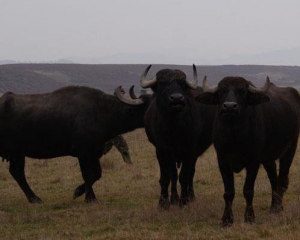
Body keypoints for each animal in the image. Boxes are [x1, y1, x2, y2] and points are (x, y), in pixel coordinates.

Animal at [0, 85, 150, 203]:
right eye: (149, 105)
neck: (101, 111)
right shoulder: (83, 154)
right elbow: (88, 175)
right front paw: (90, 198)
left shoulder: (94, 153)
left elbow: (97, 174)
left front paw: (78, 191)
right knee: (18, 173)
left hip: (17, 154)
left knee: (17, 172)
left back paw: (33, 198)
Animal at [196, 76, 300, 225]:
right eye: (221, 91)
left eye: (243, 91)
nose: (230, 106)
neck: (234, 135)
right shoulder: (222, 161)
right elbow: (228, 192)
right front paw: (226, 219)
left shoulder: (253, 162)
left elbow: (248, 190)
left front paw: (249, 217)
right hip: (268, 158)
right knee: (273, 179)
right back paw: (273, 207)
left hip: (290, 150)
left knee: (282, 181)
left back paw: (278, 208)